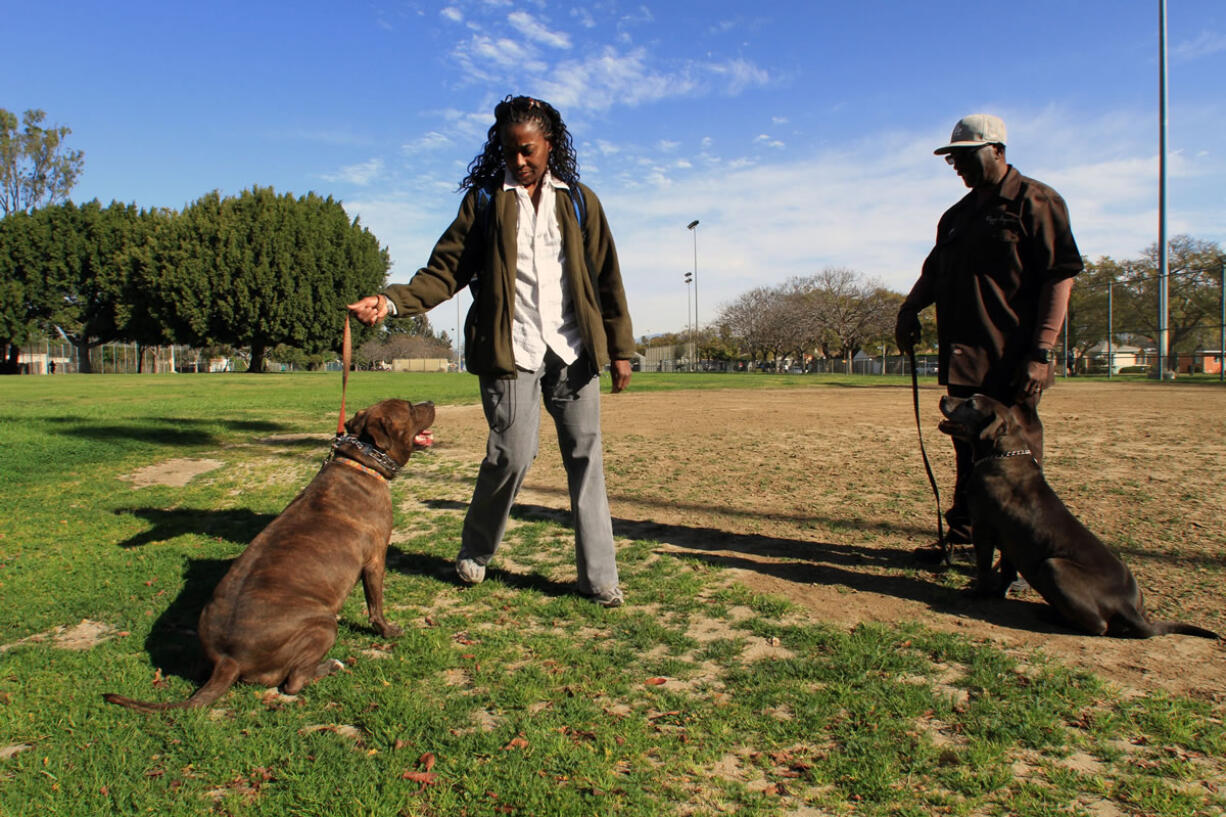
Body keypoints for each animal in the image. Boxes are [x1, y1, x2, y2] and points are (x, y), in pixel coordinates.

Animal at [106, 397, 436, 711]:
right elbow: (375, 604)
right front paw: (389, 631)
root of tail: (228, 659)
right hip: (322, 624)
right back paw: (330, 666)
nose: (431, 402)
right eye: (409, 408)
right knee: (294, 682)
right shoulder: (375, 560)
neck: (362, 459)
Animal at [936, 392, 1216, 637]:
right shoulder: (1009, 539)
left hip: (1053, 566)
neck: (1003, 455)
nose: (943, 397)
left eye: (971, 403)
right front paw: (997, 592)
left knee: (1099, 626)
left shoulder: (983, 529)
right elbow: (1006, 570)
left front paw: (977, 592)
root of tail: (1127, 606)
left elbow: (984, 568)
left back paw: (1052, 615)